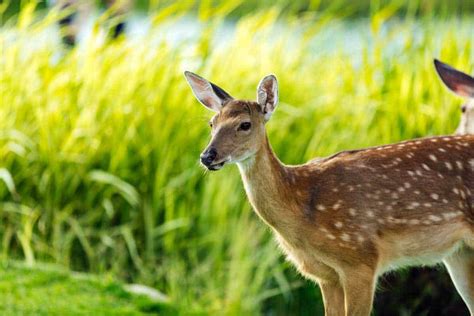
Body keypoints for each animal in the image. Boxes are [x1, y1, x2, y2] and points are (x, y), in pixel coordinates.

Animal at [185, 66, 474, 314]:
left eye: (245, 124)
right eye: (212, 123)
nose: (207, 156)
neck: (302, 204)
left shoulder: (361, 260)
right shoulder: (325, 275)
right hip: (458, 253)